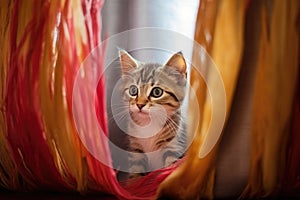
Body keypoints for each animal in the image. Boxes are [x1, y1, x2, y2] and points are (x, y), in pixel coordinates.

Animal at [119, 50, 188, 178]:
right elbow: (135, 175)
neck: (148, 124)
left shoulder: (173, 147)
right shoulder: (135, 150)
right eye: (133, 90)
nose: (140, 105)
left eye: (157, 92)